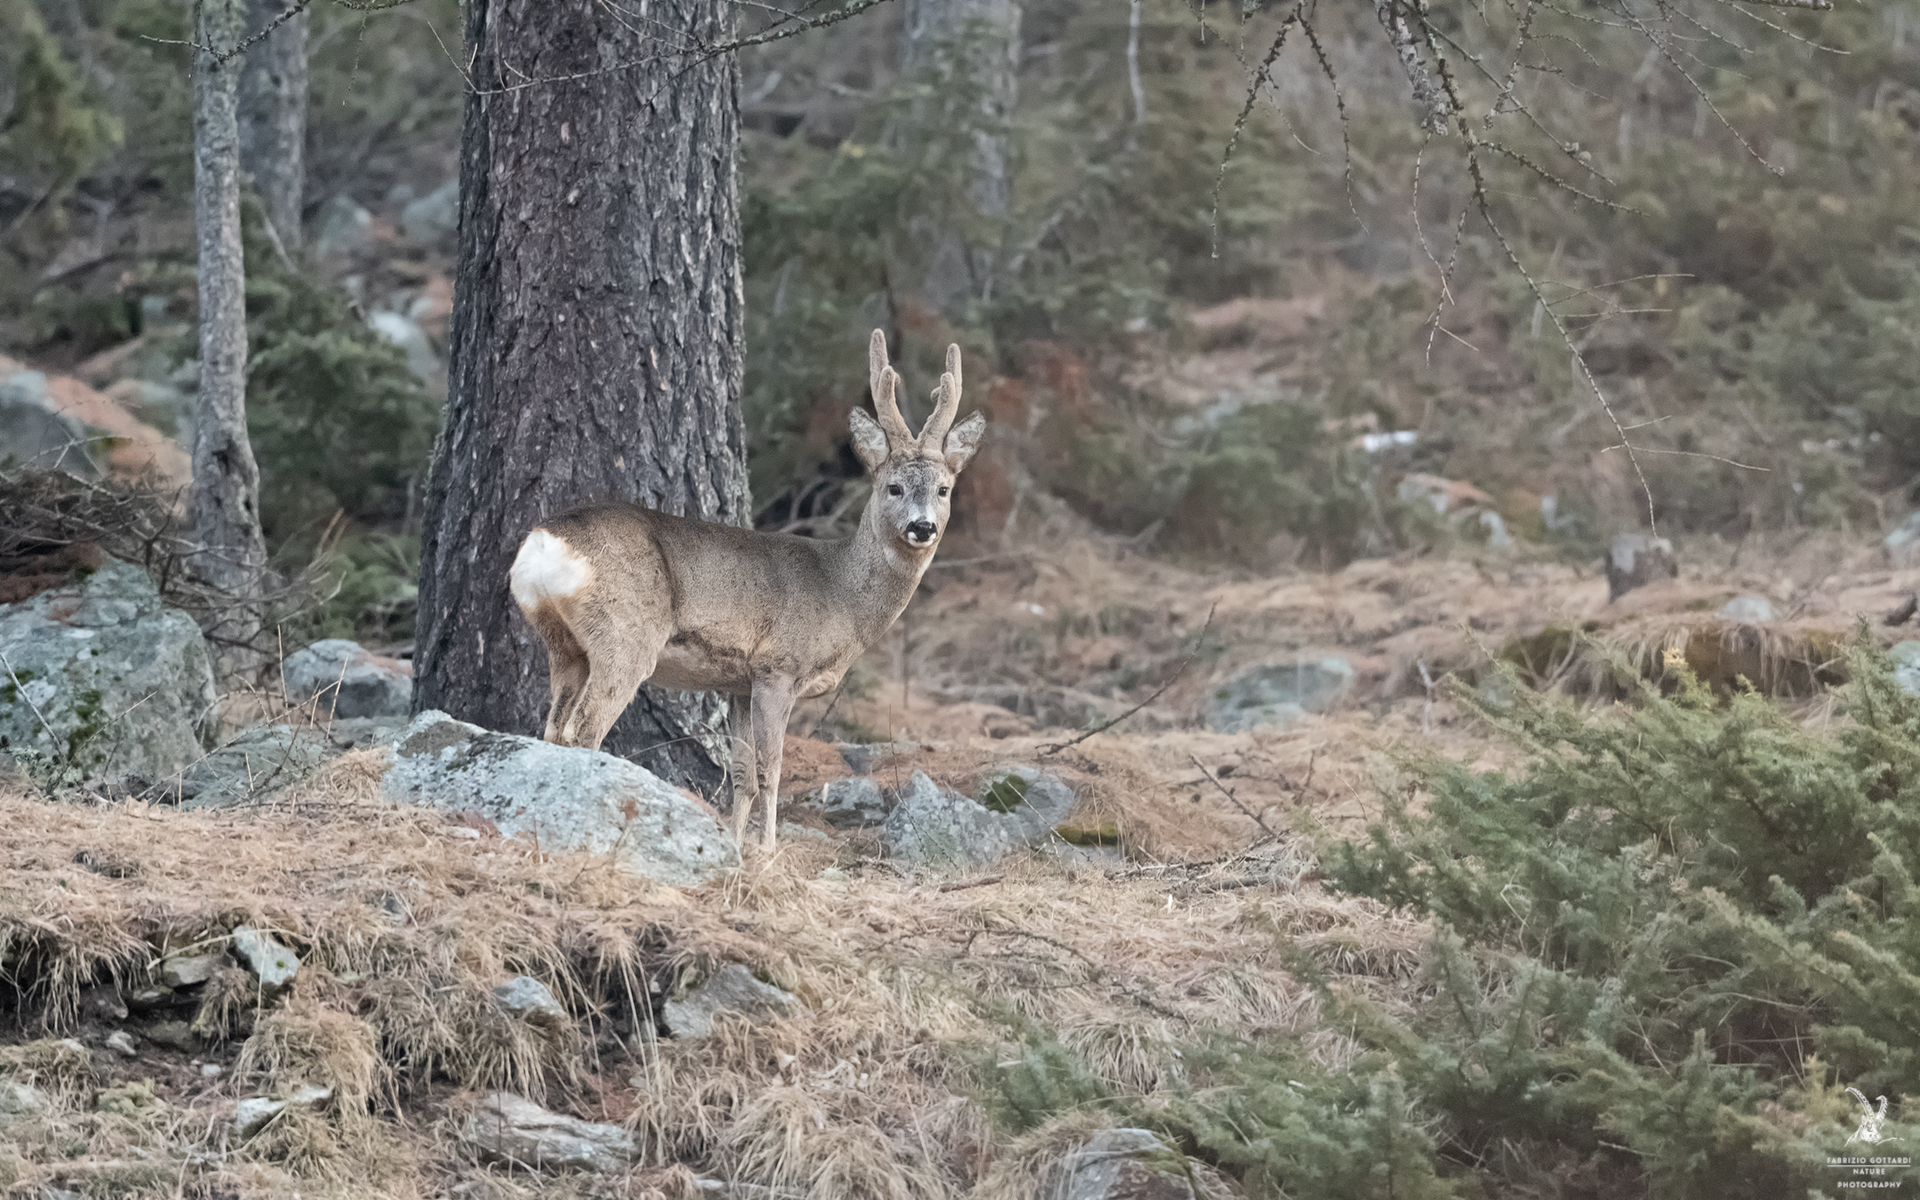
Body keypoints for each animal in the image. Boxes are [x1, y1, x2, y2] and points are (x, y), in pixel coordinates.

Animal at [508, 330, 987, 852]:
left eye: (943, 489)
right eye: (894, 487)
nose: (923, 527)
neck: (842, 596)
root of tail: (545, 541)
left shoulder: (738, 682)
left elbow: (740, 772)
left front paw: (733, 845)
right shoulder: (778, 667)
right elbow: (770, 770)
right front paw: (767, 849)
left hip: (564, 644)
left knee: (553, 727)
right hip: (625, 636)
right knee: (585, 728)